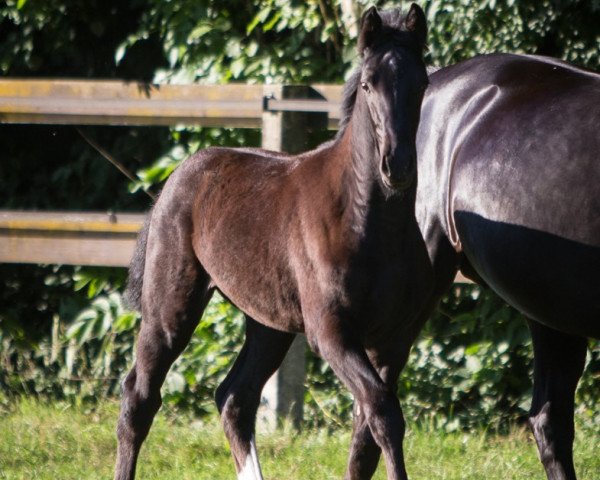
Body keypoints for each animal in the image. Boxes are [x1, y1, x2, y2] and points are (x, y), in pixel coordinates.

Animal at [113, 3, 432, 480]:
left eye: (423, 82)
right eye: (367, 83)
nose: (397, 165)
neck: (371, 224)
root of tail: (178, 175)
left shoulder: (395, 339)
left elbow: (366, 437)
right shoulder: (331, 332)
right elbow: (382, 412)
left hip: (270, 323)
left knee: (234, 398)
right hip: (171, 309)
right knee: (140, 397)